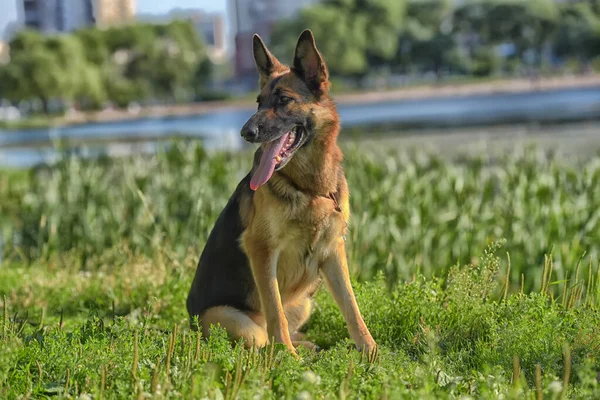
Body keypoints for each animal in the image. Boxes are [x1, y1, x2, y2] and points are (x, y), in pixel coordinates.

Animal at [188, 30, 376, 356]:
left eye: (284, 100)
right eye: (258, 102)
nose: (245, 133)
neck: (311, 187)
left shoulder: (333, 251)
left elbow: (352, 308)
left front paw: (370, 351)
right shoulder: (262, 249)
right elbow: (276, 312)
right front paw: (287, 357)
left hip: (305, 301)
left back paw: (308, 346)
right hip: (234, 321)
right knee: (261, 337)